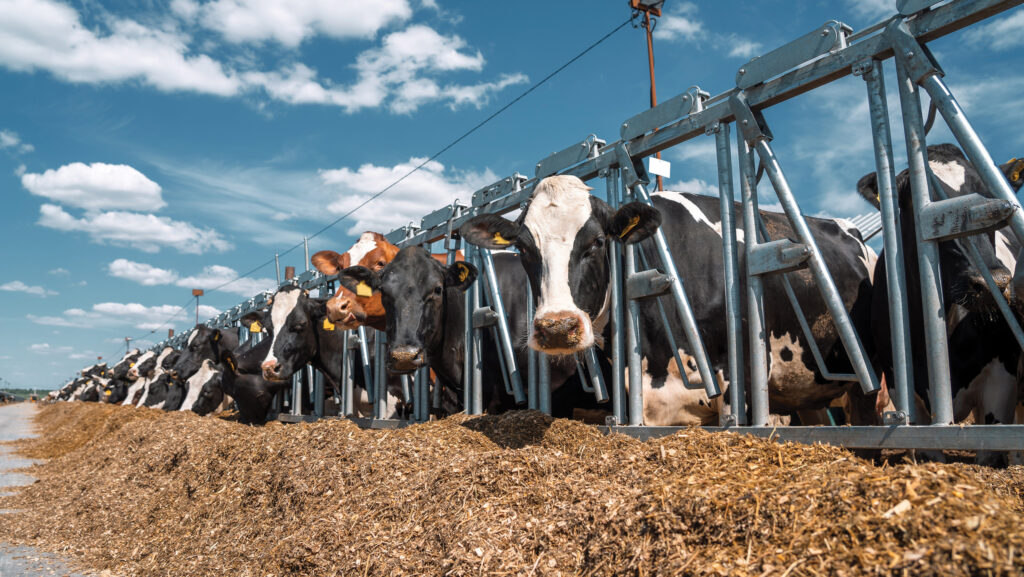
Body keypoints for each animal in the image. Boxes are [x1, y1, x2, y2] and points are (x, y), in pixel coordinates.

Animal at [860, 143, 1019, 465]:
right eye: (920, 205)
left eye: (992, 199)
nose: (993, 282)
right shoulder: (901, 387)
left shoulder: (1002, 378)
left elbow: (990, 450)